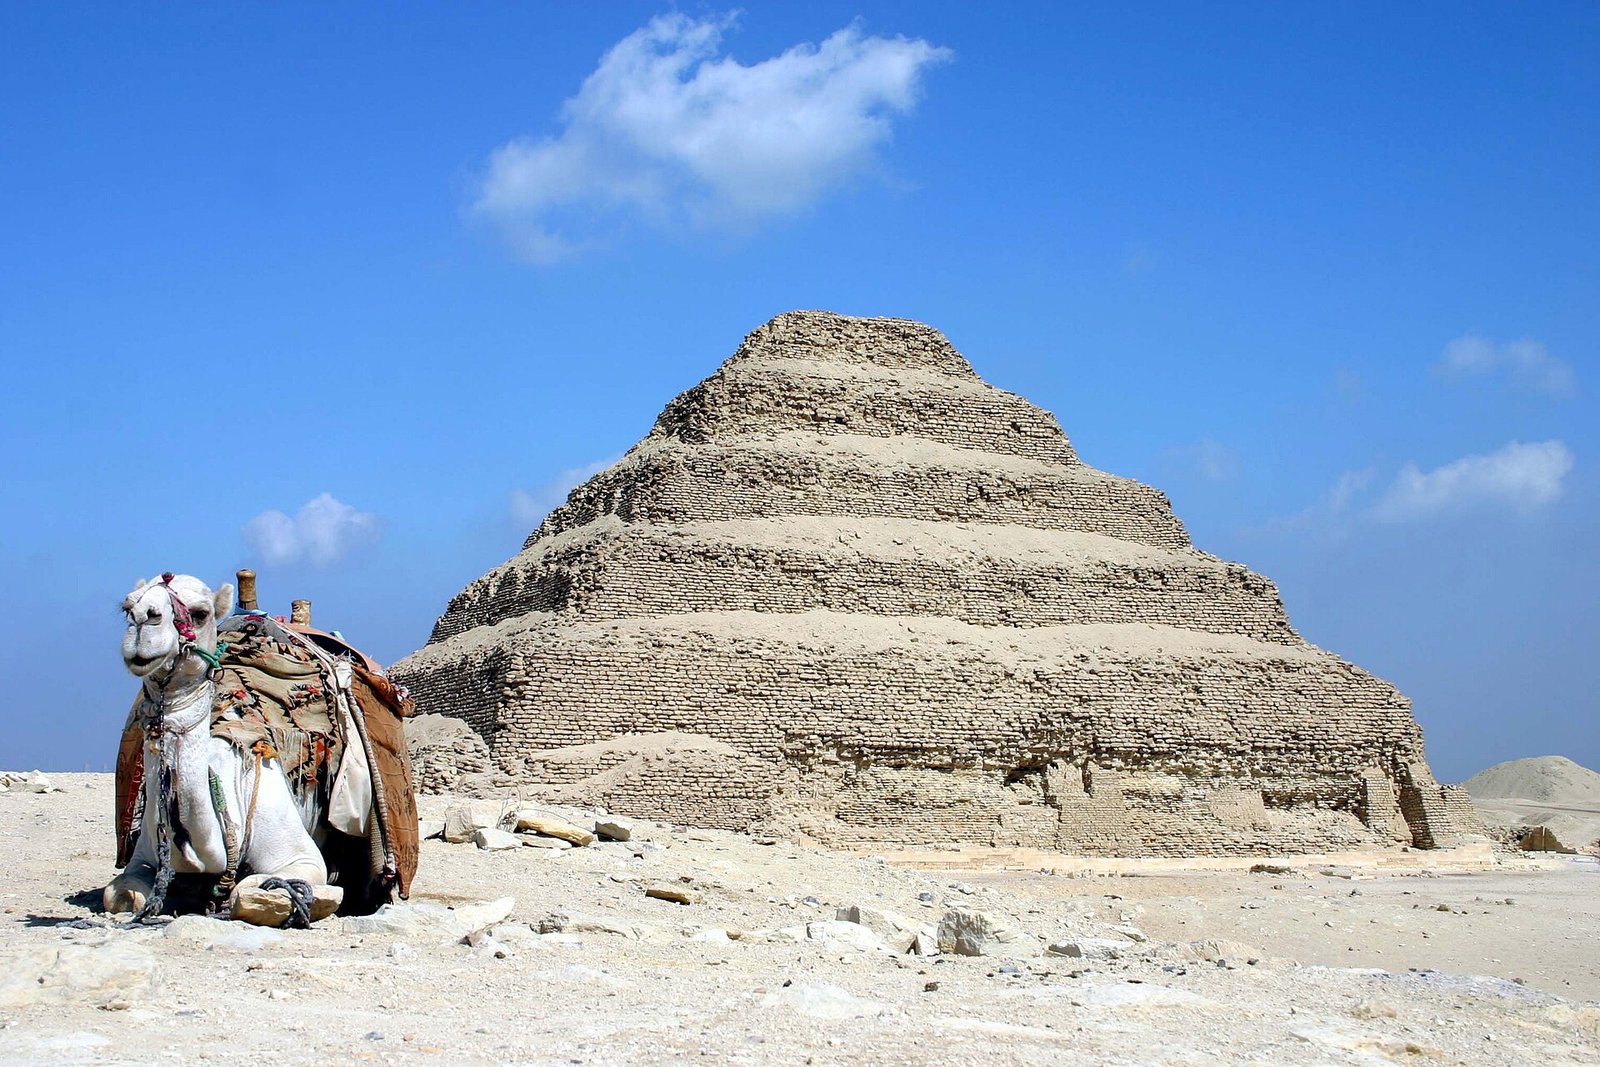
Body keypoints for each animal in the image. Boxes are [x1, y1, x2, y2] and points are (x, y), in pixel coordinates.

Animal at [105, 573, 332, 925]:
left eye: (200, 613)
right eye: (127, 606)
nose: (143, 620)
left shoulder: (301, 857)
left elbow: (248, 889)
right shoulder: (142, 856)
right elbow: (118, 895)